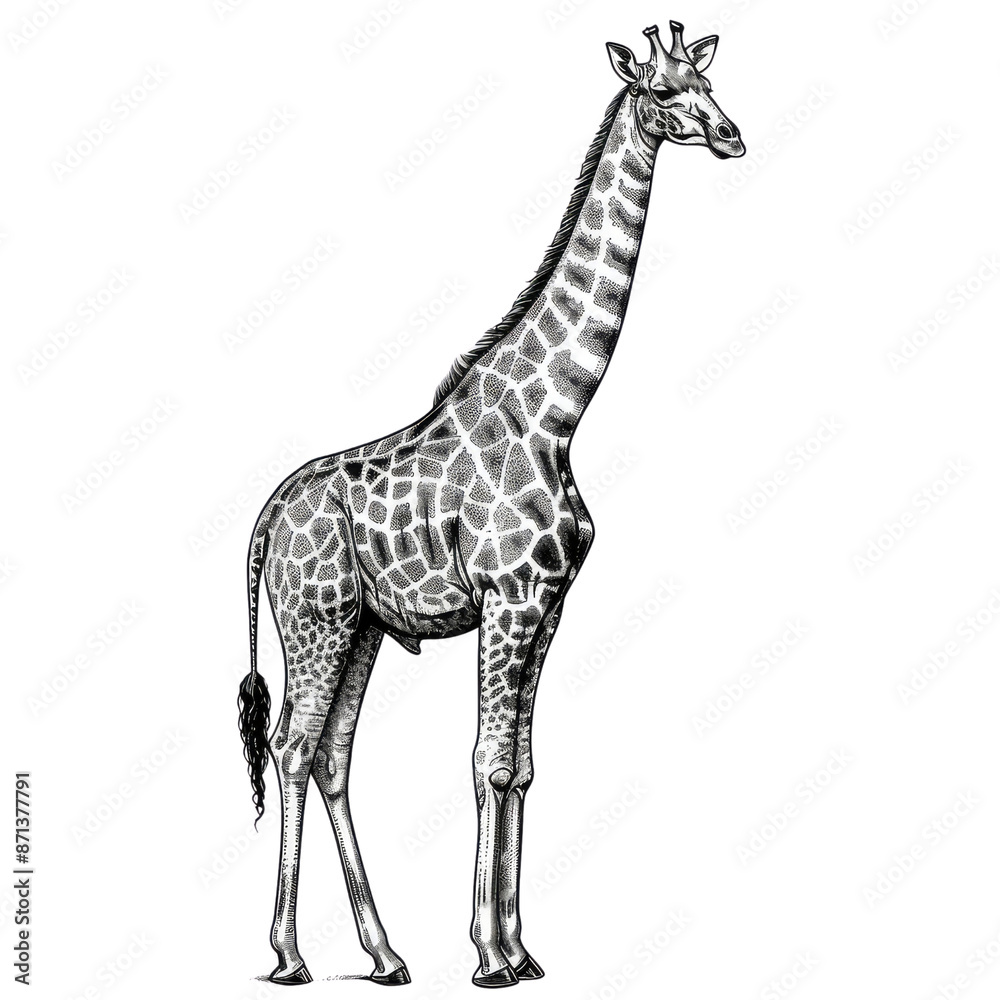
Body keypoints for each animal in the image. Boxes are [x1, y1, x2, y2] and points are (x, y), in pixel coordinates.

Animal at [239, 21, 743, 988]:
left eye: (709, 81)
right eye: (665, 92)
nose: (733, 136)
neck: (554, 415)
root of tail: (267, 517)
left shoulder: (547, 604)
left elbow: (522, 766)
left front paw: (520, 949)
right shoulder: (508, 600)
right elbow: (485, 761)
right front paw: (488, 956)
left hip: (360, 628)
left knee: (332, 755)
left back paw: (386, 954)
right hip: (314, 620)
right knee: (291, 747)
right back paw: (287, 955)